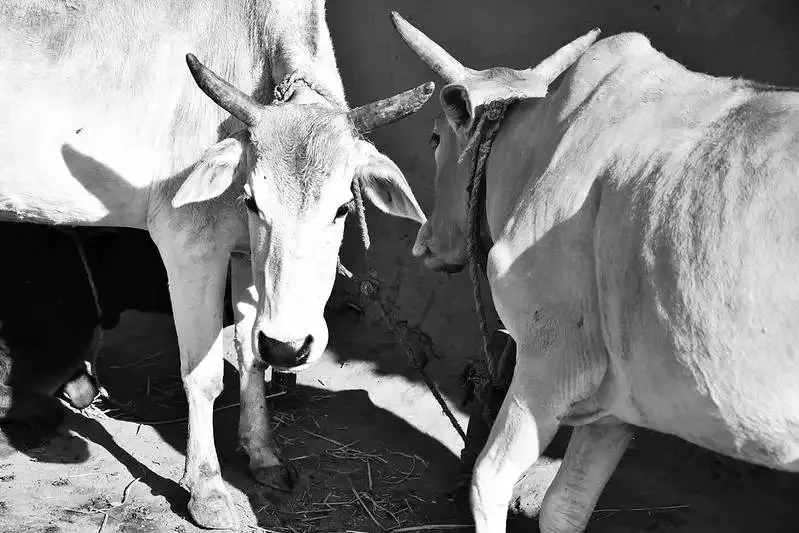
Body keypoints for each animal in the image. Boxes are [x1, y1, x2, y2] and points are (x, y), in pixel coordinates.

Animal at [1, 1, 432, 527]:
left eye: (343, 208)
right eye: (252, 200)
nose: (291, 347)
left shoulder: (245, 257)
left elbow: (252, 357)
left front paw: (263, 454)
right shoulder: (190, 245)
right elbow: (204, 375)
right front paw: (207, 490)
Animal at [391, 12, 799, 533]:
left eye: (435, 138)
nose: (423, 242)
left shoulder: (553, 360)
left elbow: (489, 478)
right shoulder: (614, 403)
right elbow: (564, 507)